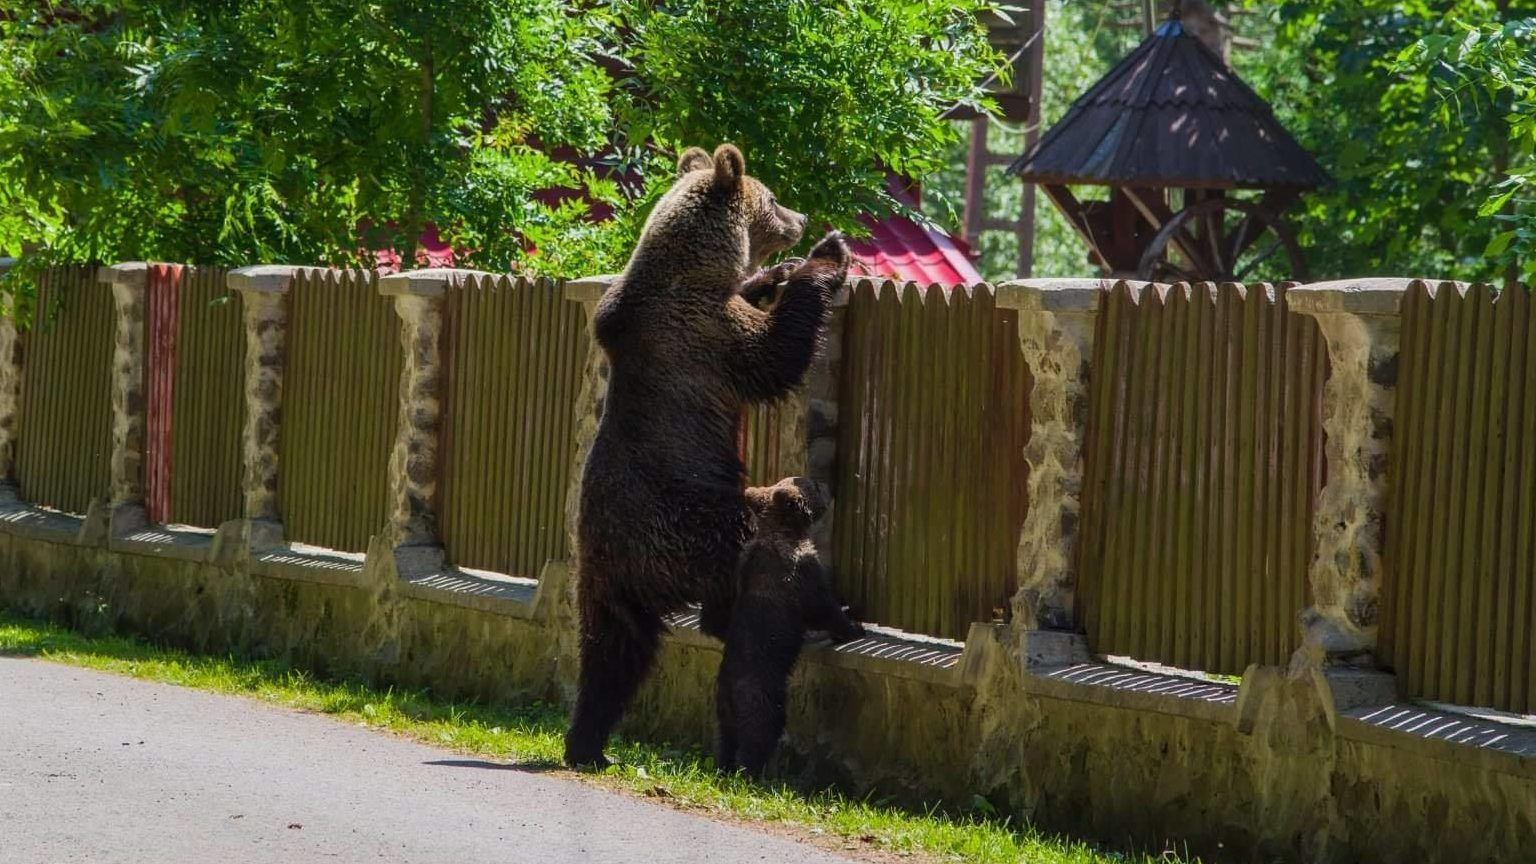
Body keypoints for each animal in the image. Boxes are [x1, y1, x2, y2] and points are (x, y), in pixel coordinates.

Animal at [565, 142, 854, 765]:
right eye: (774, 196)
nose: (800, 218)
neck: (692, 269)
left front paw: (773, 274)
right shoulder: (705, 333)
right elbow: (775, 351)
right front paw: (825, 257)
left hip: (607, 574)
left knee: (611, 651)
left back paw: (587, 743)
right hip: (705, 523)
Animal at [715, 473, 866, 777]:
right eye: (814, 485)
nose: (826, 483)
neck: (783, 531)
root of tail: (729, 695)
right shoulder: (798, 575)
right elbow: (823, 607)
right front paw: (853, 625)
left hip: (723, 708)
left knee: (726, 738)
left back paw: (723, 765)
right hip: (761, 695)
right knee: (760, 732)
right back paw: (751, 773)